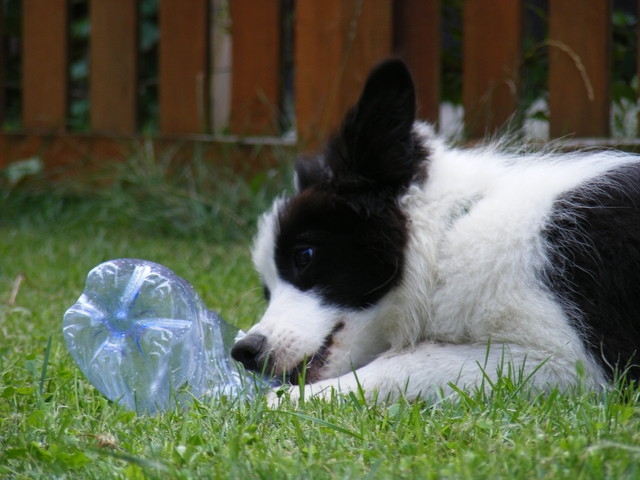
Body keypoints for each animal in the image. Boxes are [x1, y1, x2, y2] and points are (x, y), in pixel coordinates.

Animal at [231, 59, 640, 403]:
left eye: (304, 256)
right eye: (266, 289)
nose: (245, 351)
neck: (448, 238)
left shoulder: (572, 361)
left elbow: (409, 361)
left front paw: (298, 399)